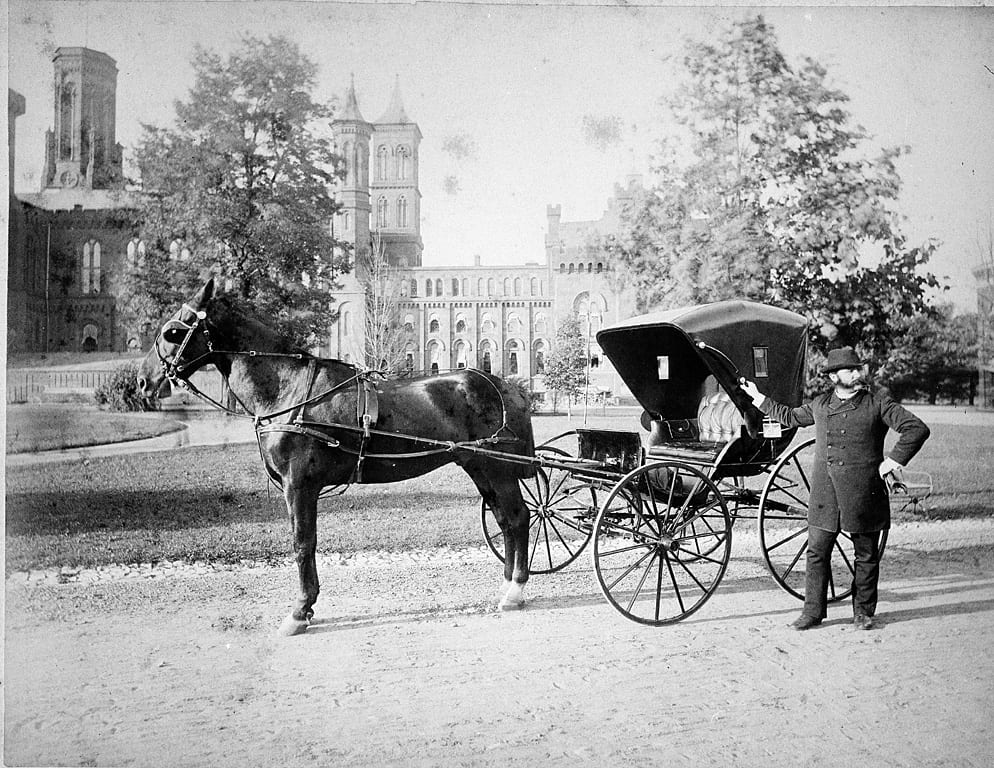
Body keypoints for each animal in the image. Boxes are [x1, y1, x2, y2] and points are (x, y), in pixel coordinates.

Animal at [138, 278, 536, 636]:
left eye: (173, 331)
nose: (143, 380)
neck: (289, 389)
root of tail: (505, 386)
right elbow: (306, 542)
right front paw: (307, 606)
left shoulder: (299, 485)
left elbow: (303, 543)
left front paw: (300, 611)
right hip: (478, 467)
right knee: (504, 521)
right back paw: (507, 584)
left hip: (498, 469)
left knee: (518, 518)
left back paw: (515, 590)